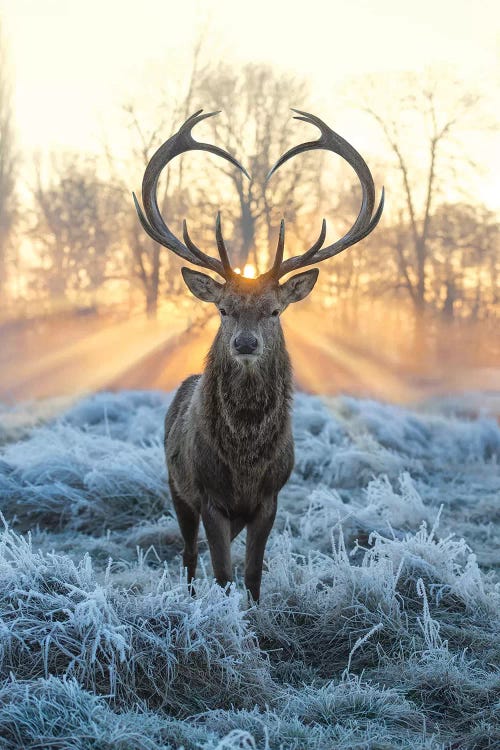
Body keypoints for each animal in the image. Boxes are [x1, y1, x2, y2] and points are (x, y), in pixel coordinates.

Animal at [133, 108, 382, 604]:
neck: (245, 463)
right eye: (223, 309)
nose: (245, 343)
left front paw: (253, 614)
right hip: (174, 485)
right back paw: (190, 598)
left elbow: (251, 575)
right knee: (188, 555)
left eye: (274, 310)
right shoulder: (208, 495)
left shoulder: (271, 497)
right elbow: (223, 573)